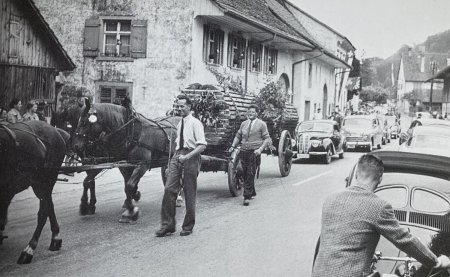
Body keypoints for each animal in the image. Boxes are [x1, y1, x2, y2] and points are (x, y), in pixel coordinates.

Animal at [0, 119, 69, 262]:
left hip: (44, 181)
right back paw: (55, 239)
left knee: (43, 212)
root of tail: (56, 130)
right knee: (49, 206)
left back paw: (29, 249)